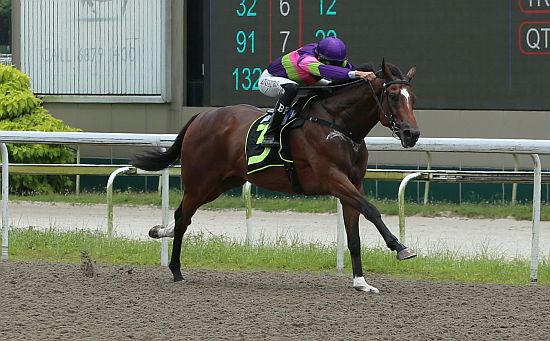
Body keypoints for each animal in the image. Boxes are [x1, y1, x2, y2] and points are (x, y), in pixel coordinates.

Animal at [132, 59, 420, 290]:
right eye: (393, 95)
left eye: (413, 98)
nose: (412, 134)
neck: (338, 125)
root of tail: (201, 116)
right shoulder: (332, 178)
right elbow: (371, 210)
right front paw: (400, 247)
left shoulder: (353, 183)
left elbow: (354, 235)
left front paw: (361, 282)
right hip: (200, 181)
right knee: (183, 218)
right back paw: (176, 269)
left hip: (220, 183)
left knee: (183, 215)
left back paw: (161, 232)